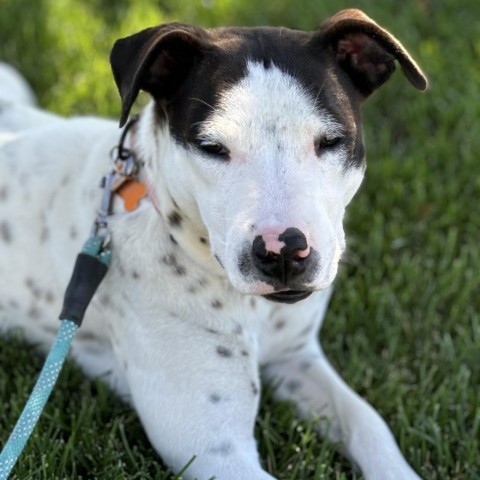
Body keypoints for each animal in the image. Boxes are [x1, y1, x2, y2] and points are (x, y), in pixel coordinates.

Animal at [0, 8, 428, 480]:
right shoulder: (211, 449)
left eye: (331, 141)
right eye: (211, 147)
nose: (284, 252)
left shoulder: (296, 358)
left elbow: (368, 423)